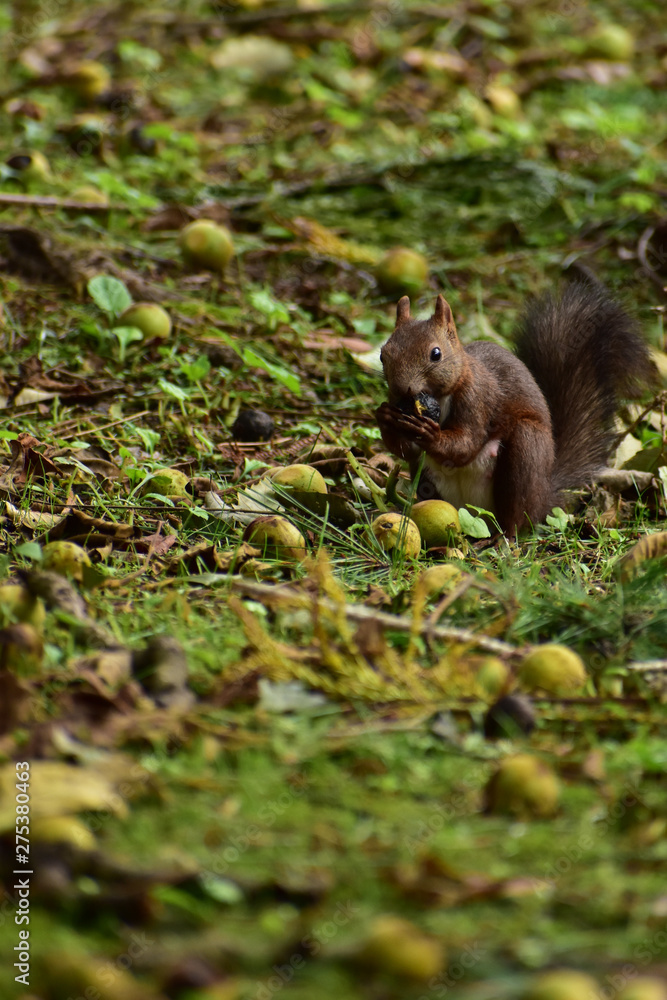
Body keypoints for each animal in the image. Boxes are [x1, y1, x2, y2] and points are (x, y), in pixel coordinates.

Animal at [376, 282, 656, 540]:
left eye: (436, 354)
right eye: (383, 354)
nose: (401, 389)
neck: (441, 395)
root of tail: (545, 497)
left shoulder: (478, 398)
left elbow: (467, 443)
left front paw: (430, 433)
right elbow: (409, 450)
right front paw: (385, 418)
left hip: (526, 450)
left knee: (516, 519)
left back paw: (502, 539)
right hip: (428, 479)